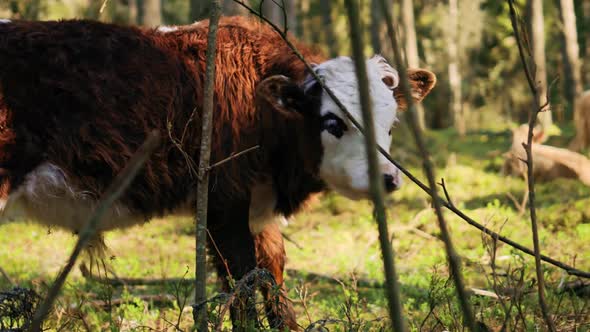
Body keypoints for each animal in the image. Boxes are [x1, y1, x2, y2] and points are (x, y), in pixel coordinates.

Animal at [0, 17, 434, 330]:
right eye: (333, 122)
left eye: (392, 124)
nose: (388, 179)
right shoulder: (225, 203)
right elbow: (241, 279)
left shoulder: (256, 208)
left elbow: (270, 273)